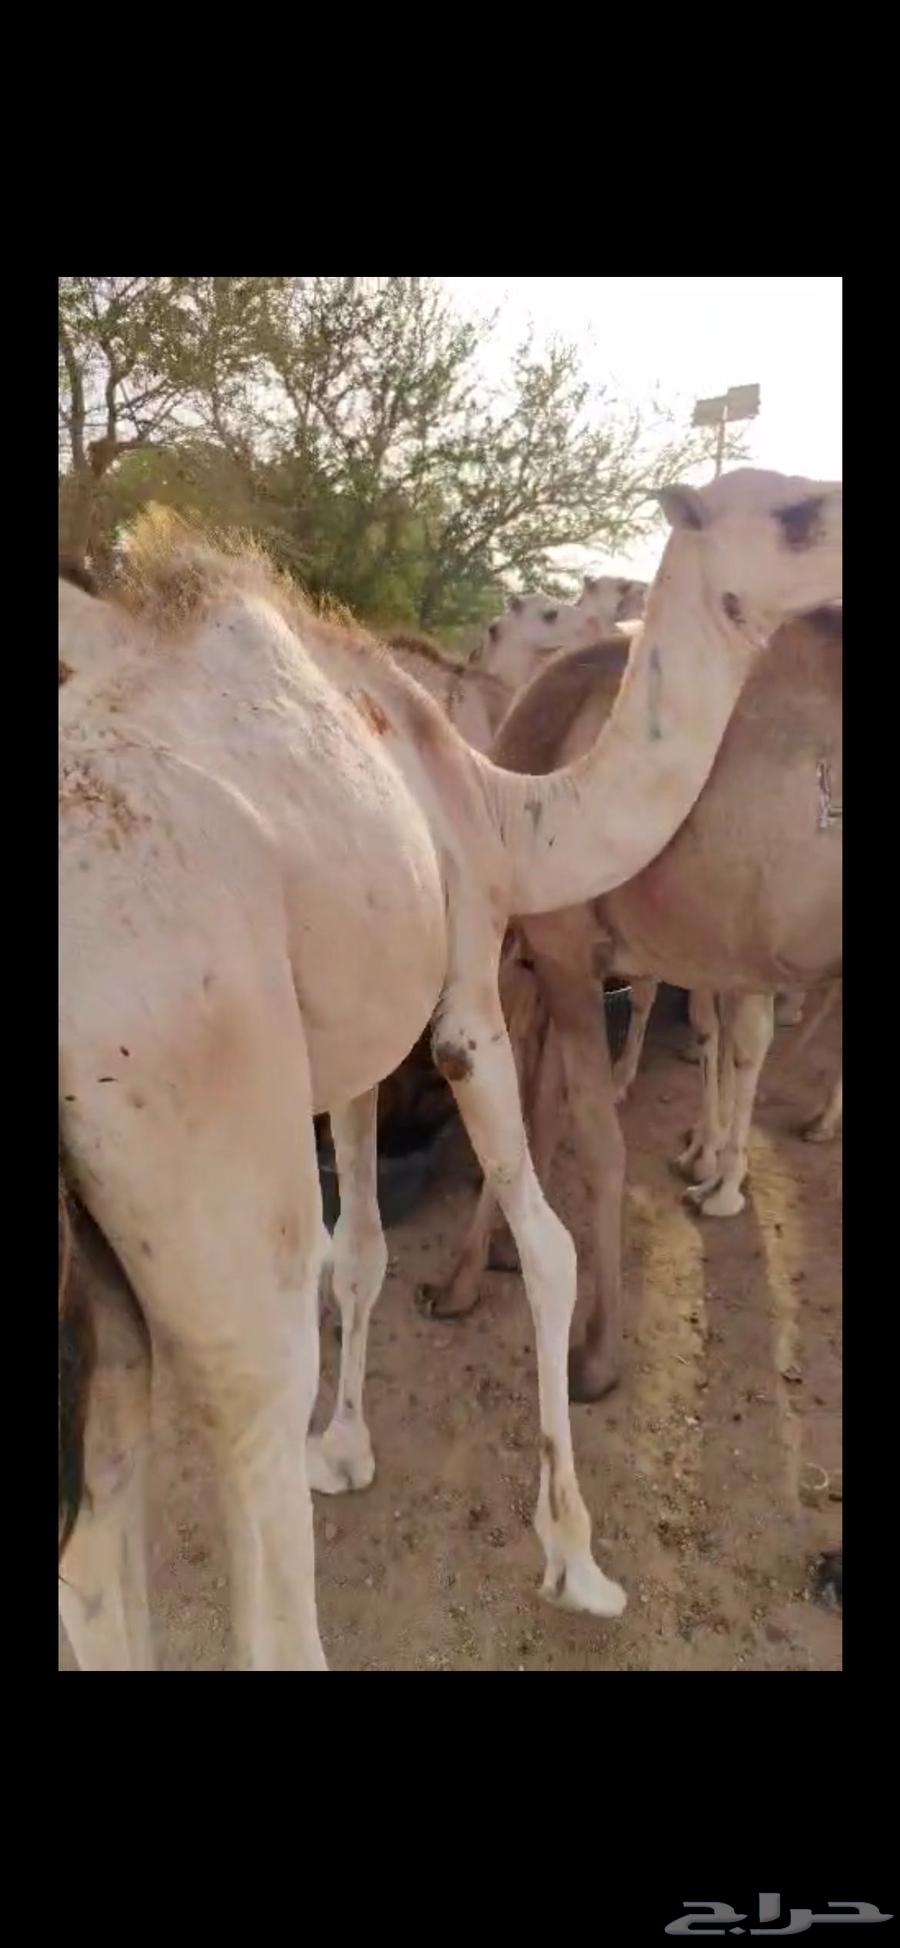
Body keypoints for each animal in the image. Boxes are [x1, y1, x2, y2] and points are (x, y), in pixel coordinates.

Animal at [433, 599, 842, 1403]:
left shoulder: (561, 948)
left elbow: (588, 1138)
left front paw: (594, 1354)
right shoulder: (564, 959)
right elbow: (541, 1110)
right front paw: (492, 1261)